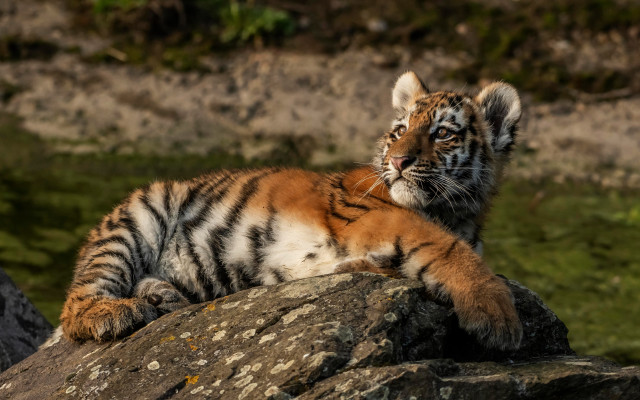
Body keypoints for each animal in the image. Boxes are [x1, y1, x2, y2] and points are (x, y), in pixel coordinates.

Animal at [59, 71, 523, 351]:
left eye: (442, 133)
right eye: (400, 130)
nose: (398, 161)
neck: (456, 212)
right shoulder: (372, 216)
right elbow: (445, 247)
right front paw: (496, 315)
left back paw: (164, 296)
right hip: (139, 216)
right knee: (75, 306)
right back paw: (116, 313)